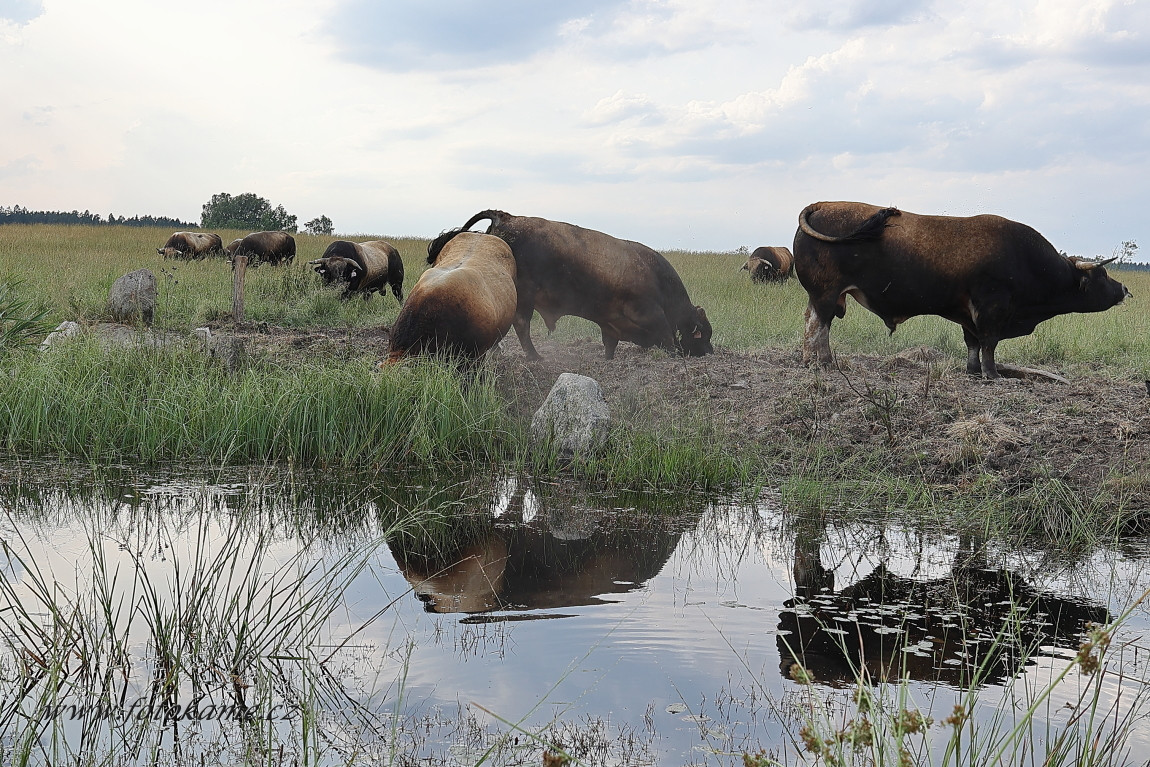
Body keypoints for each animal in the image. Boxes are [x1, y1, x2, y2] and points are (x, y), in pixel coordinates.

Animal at [434, 208, 713, 361]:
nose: (710, 351)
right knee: (522, 325)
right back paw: (534, 356)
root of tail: (507, 217)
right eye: (704, 333)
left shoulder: (609, 324)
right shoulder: (652, 313)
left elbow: (609, 345)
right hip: (524, 298)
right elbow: (668, 338)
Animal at [791, 197, 1131, 377]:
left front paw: (973, 370)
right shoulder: (992, 308)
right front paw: (992, 374)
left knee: (811, 322)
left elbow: (973, 343)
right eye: (1102, 274)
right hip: (826, 295)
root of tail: (822, 205)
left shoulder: (968, 314)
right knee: (818, 326)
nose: (1124, 290)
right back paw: (822, 363)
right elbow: (989, 343)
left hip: (821, 296)